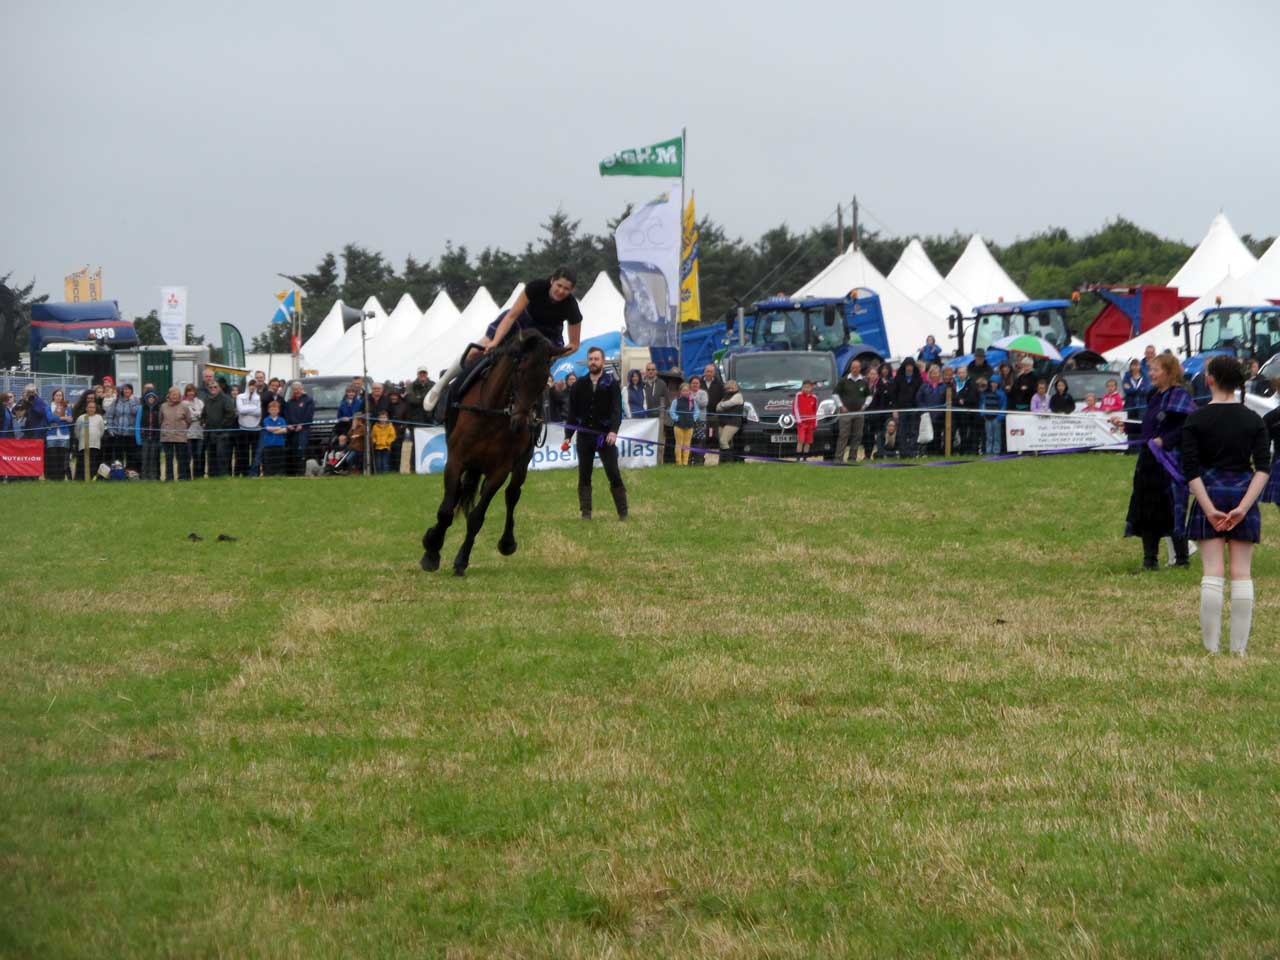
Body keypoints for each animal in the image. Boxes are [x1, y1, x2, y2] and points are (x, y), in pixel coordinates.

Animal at [422, 330, 552, 578]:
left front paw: (461, 561)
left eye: (544, 381)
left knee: (512, 494)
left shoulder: (499, 470)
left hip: (519, 464)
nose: (522, 424)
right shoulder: (456, 460)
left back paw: (507, 542)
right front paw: (431, 550)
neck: (491, 414)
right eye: (519, 371)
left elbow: (476, 517)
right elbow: (446, 511)